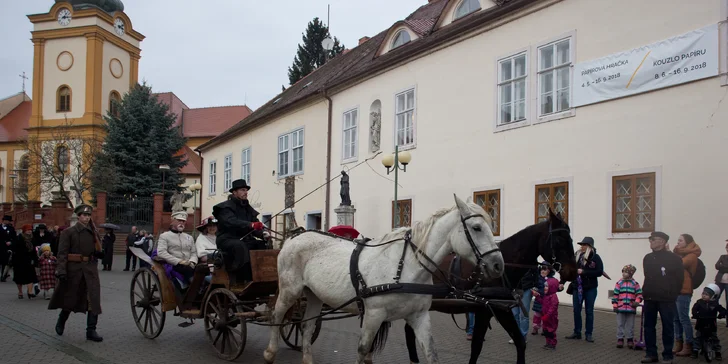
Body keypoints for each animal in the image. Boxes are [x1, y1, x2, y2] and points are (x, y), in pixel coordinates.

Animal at [264, 195, 506, 362]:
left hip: (314, 295)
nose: (498, 265)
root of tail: (295, 237)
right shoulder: (373, 315)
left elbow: (431, 353)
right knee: (277, 316)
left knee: (306, 326)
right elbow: (362, 351)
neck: (405, 268)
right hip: (290, 290)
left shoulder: (419, 316)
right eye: (476, 228)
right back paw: (270, 352)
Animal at [404, 209, 576, 362]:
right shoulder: (484, 310)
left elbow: (520, 342)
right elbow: (476, 346)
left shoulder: (502, 309)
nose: (572, 272)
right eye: (560, 239)